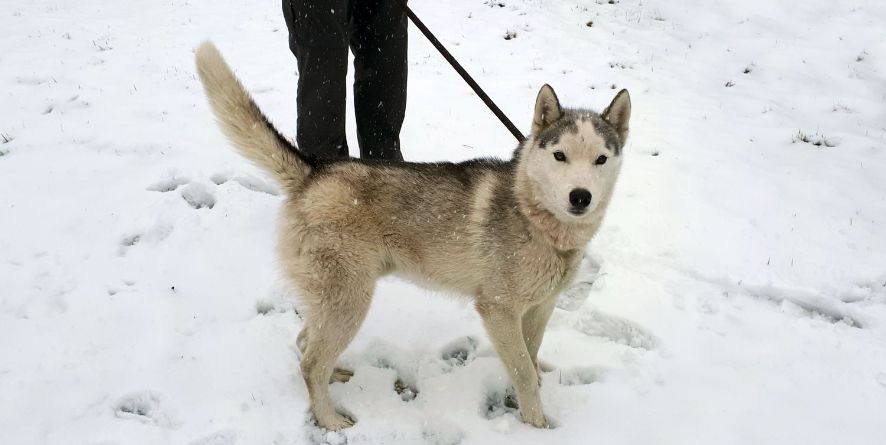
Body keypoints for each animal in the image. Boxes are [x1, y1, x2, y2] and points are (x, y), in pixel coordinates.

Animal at [196, 42, 632, 430]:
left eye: (600, 159)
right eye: (559, 156)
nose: (580, 196)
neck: (538, 221)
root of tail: (315, 170)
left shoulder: (541, 307)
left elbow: (531, 355)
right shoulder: (498, 310)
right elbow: (523, 370)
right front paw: (535, 423)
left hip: (332, 301)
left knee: (305, 343)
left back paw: (335, 375)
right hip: (350, 301)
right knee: (310, 362)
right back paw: (329, 419)